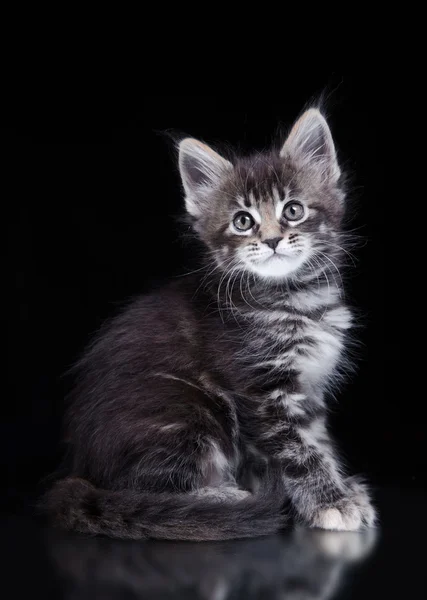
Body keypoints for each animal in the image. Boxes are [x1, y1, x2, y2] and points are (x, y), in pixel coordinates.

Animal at [43, 106, 376, 540]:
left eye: (293, 210)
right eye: (242, 221)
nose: (272, 240)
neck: (296, 298)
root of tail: (76, 468)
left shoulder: (309, 390)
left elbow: (319, 442)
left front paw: (342, 490)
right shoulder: (260, 393)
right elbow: (299, 451)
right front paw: (330, 504)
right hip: (188, 411)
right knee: (141, 488)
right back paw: (221, 499)